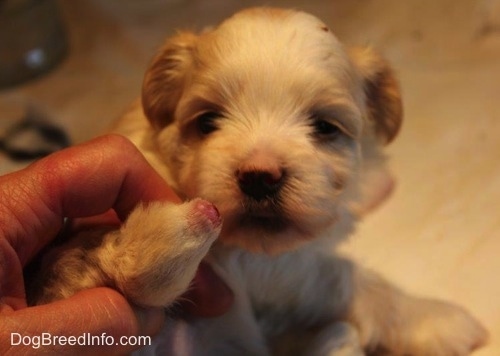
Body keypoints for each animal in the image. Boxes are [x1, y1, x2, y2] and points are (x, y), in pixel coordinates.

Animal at [29, 6, 486, 354]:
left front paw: (375, 181)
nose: (261, 177)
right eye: (207, 121)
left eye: (325, 127)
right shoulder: (269, 267)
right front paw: (440, 318)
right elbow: (344, 275)